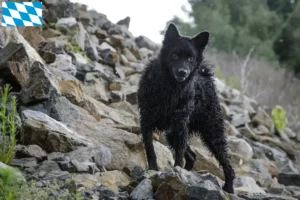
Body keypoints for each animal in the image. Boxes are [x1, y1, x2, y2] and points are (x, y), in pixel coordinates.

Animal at [137, 22, 236, 193]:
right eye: (175, 55)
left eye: (190, 58)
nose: (183, 72)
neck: (171, 88)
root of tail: (205, 76)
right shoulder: (147, 121)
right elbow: (150, 149)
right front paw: (154, 169)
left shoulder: (180, 125)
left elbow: (178, 155)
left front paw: (174, 173)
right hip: (173, 134)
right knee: (192, 156)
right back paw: (186, 174)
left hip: (212, 133)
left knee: (226, 163)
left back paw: (228, 187)